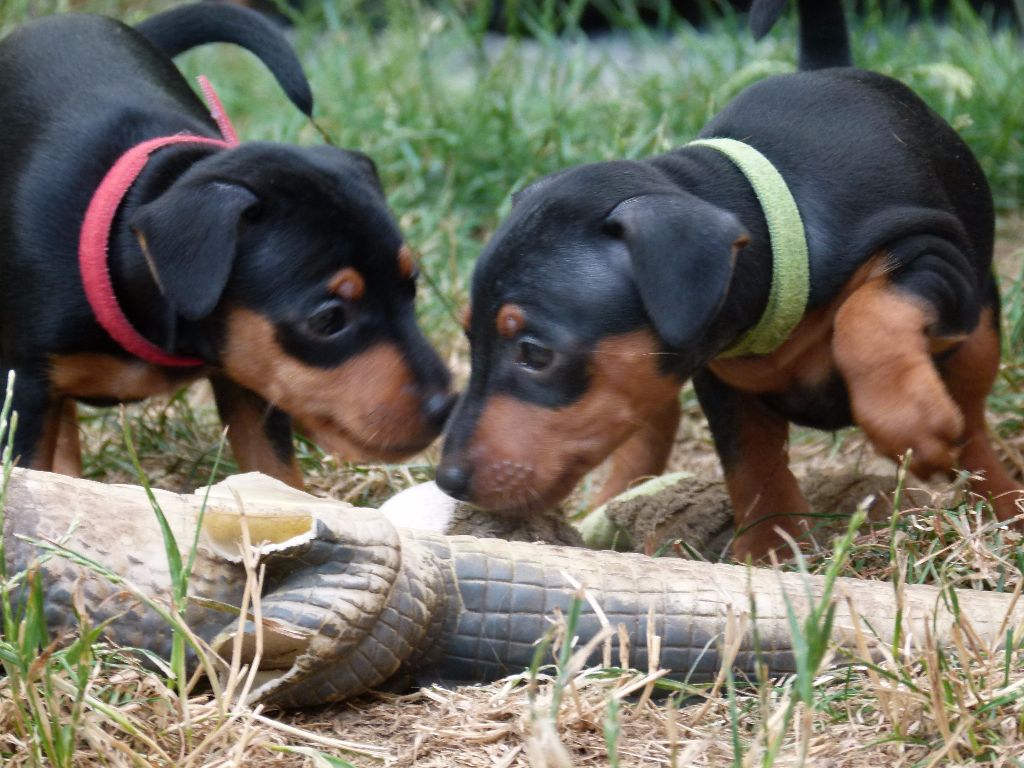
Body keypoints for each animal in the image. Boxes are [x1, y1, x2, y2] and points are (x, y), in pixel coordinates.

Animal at [0, 4, 452, 487]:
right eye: (328, 320)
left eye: (412, 286)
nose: (446, 406)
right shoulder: (24, 387)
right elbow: (26, 470)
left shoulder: (252, 377)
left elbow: (273, 470)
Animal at [434, 0, 1024, 561]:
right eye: (471, 339)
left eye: (534, 353)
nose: (448, 480)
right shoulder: (719, 375)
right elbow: (750, 466)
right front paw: (769, 555)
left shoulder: (934, 255)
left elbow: (868, 313)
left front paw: (907, 418)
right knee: (652, 422)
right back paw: (614, 498)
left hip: (978, 329)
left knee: (972, 420)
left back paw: (1001, 504)